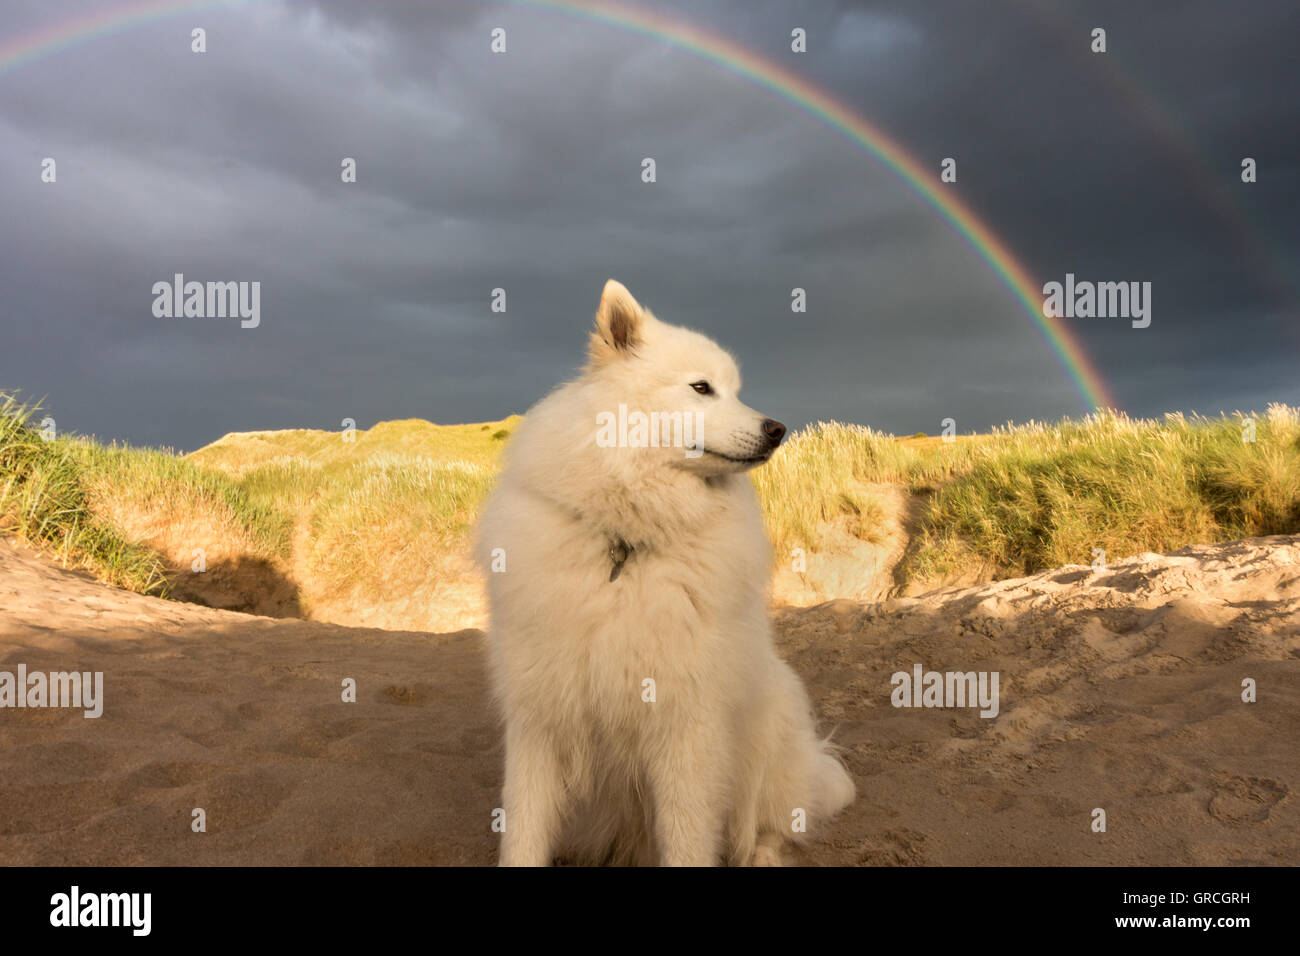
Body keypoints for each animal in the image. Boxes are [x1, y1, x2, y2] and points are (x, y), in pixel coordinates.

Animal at [475, 278, 852, 868]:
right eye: (701, 388)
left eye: (735, 390)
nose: (778, 429)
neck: (627, 544)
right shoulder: (539, 718)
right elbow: (524, 831)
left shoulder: (685, 728)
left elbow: (688, 838)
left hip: (771, 736)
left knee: (767, 825)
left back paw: (763, 853)